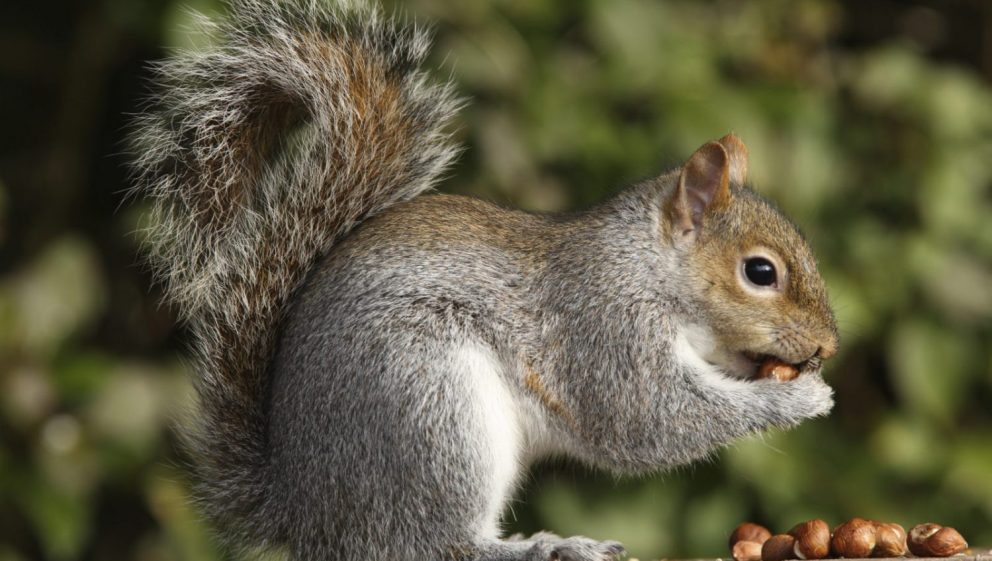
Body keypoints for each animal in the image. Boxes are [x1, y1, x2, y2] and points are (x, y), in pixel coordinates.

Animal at [130, 1, 836, 560]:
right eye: (760, 272)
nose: (828, 345)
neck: (645, 266)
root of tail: (304, 513)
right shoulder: (603, 327)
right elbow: (649, 420)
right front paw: (800, 400)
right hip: (432, 409)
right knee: (435, 545)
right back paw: (546, 548)